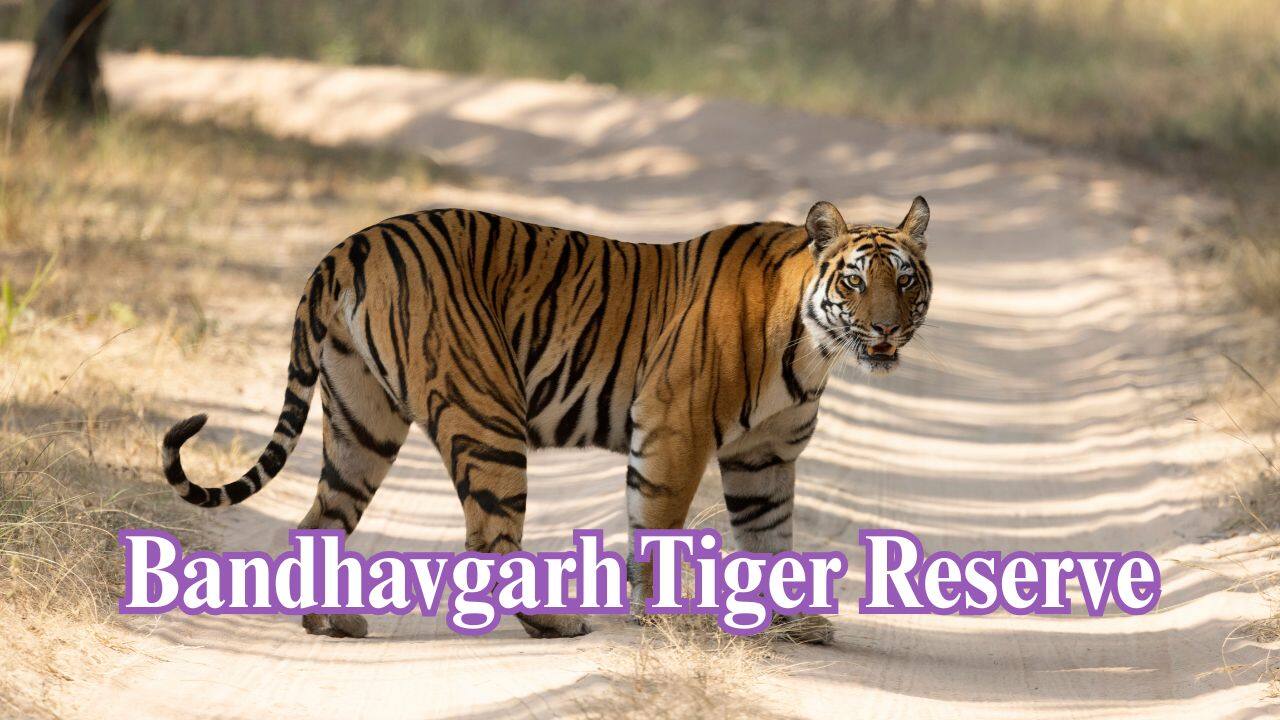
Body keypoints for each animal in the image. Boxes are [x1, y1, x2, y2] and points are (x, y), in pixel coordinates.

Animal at [162, 197, 932, 642]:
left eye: (906, 280)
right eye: (855, 282)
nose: (887, 331)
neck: (814, 347)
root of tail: (349, 245)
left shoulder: (763, 458)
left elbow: (773, 542)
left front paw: (793, 622)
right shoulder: (674, 429)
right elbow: (659, 531)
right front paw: (663, 619)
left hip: (362, 418)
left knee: (320, 519)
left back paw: (331, 620)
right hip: (487, 411)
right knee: (488, 537)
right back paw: (553, 619)